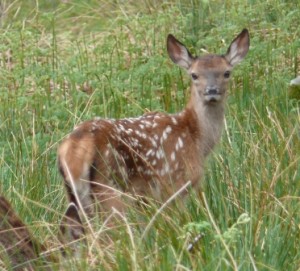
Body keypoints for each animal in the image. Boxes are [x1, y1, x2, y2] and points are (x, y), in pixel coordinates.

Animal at [57, 28, 250, 218]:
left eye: (227, 72)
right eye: (194, 75)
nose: (212, 91)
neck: (196, 139)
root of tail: (75, 147)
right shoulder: (174, 185)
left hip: (76, 195)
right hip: (110, 185)